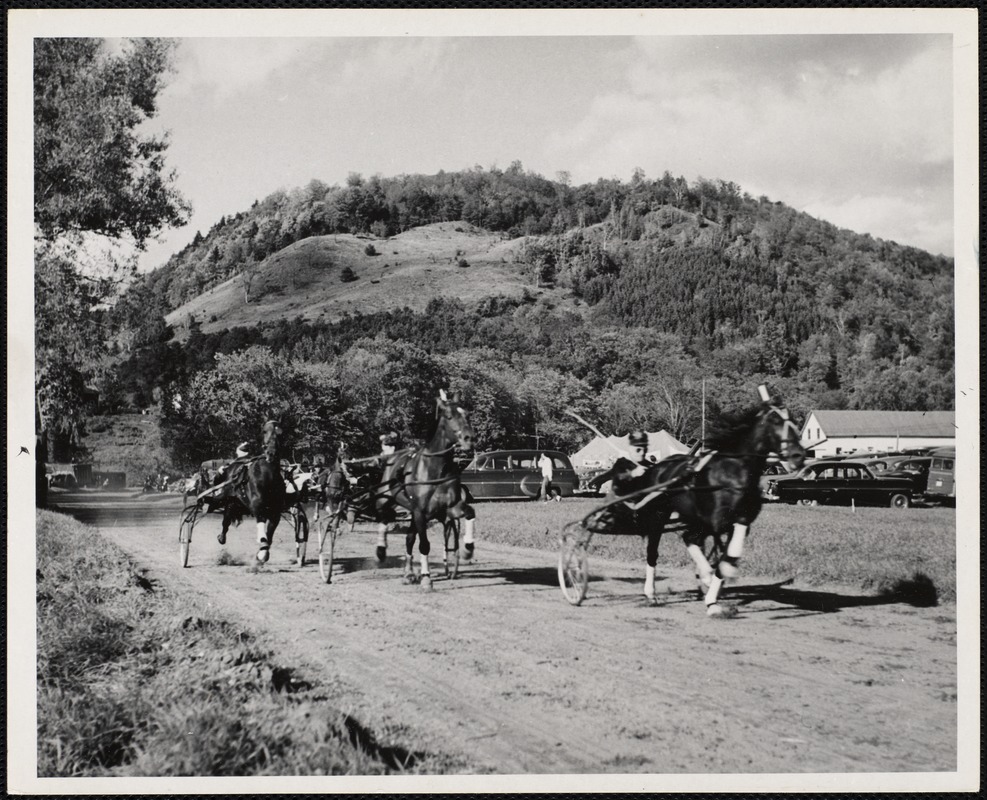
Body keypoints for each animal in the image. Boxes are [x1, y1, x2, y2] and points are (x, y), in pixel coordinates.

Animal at [217, 418, 288, 564]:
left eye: (281, 433)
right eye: (264, 431)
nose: (271, 453)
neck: (268, 475)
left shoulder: (275, 513)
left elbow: (269, 537)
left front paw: (262, 553)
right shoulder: (258, 508)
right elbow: (263, 536)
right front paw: (262, 552)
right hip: (230, 503)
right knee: (225, 522)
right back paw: (221, 537)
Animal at [374, 390, 474, 592]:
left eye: (467, 414)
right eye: (449, 416)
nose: (469, 438)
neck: (435, 468)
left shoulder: (448, 508)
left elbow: (469, 512)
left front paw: (467, 548)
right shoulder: (421, 512)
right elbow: (425, 545)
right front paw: (427, 578)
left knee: (409, 538)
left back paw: (408, 573)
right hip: (386, 498)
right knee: (383, 516)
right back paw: (381, 549)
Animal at [604, 388, 804, 620]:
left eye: (792, 418)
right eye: (775, 420)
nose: (798, 455)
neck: (732, 472)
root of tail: (656, 468)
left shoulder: (738, 521)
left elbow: (730, 553)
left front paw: (713, 595)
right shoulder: (716, 521)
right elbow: (711, 551)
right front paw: (711, 587)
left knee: (692, 540)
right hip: (659, 516)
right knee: (657, 550)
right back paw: (651, 593)